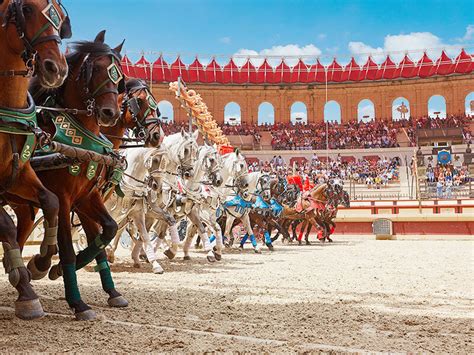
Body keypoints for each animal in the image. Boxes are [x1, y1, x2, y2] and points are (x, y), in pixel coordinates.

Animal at [14, 30, 126, 322]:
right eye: (94, 69)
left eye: (118, 76)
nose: (110, 113)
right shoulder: (63, 199)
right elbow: (65, 245)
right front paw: (77, 301)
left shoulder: (87, 197)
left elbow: (107, 230)